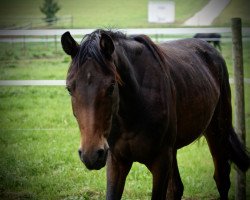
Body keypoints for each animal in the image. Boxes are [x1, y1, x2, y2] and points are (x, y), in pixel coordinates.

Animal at [61, 28, 250, 199]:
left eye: (111, 87)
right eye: (69, 88)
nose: (91, 155)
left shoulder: (161, 162)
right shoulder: (116, 161)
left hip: (217, 131)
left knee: (221, 179)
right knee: (176, 188)